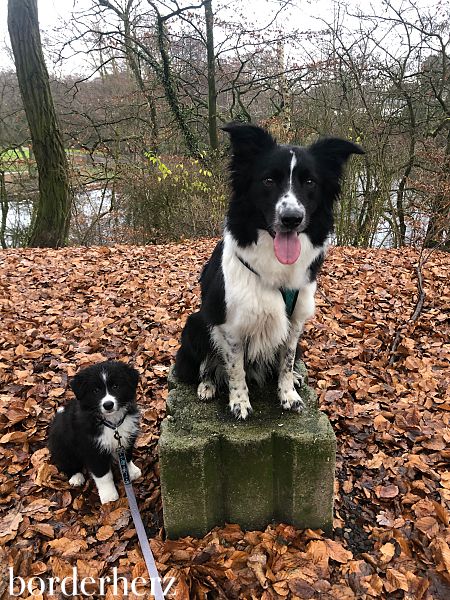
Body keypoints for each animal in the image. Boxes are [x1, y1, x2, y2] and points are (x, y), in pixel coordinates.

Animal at [48, 360, 142, 506]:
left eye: (116, 386)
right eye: (96, 390)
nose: (108, 405)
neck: (111, 424)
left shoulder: (126, 438)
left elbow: (127, 456)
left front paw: (131, 472)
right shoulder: (92, 449)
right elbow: (103, 475)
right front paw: (109, 495)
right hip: (63, 446)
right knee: (65, 463)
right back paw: (76, 477)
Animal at [174, 122, 364, 420]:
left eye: (310, 182)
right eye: (269, 181)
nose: (291, 219)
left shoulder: (295, 322)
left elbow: (286, 361)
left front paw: (288, 395)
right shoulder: (231, 327)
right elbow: (236, 370)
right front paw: (239, 402)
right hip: (196, 322)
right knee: (206, 365)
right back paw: (207, 385)